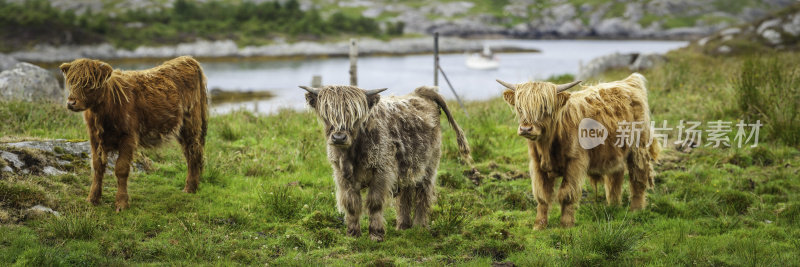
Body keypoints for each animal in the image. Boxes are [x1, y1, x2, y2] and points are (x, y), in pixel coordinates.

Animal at [60, 56, 208, 211]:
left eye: (89, 83)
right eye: (71, 81)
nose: (71, 102)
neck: (104, 111)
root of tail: (187, 59)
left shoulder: (128, 137)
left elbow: (121, 169)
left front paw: (121, 203)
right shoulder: (94, 138)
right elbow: (98, 167)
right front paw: (92, 199)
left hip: (191, 124)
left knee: (193, 152)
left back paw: (190, 188)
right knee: (190, 153)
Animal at [302, 86, 476, 243]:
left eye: (356, 115)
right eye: (326, 113)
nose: (339, 137)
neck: (353, 152)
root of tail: (420, 92)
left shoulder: (381, 172)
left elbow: (374, 202)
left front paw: (376, 234)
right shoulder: (342, 175)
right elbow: (351, 203)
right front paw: (352, 234)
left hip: (429, 165)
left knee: (423, 194)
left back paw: (419, 227)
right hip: (407, 167)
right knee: (406, 195)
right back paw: (403, 226)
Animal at [496, 74, 660, 230]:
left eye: (544, 108)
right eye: (519, 108)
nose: (526, 128)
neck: (548, 146)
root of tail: (628, 81)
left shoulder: (575, 163)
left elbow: (566, 193)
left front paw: (566, 224)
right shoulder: (537, 164)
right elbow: (542, 195)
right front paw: (539, 226)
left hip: (638, 147)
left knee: (638, 176)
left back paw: (636, 210)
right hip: (614, 152)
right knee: (615, 177)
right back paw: (613, 206)